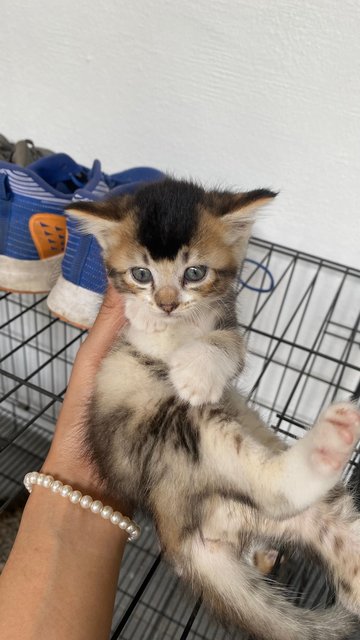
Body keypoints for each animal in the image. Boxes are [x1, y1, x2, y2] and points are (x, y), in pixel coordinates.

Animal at [67, 178, 360, 640]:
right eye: (141, 274)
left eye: (195, 273)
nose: (166, 303)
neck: (179, 329)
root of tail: (176, 535)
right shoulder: (126, 345)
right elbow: (140, 328)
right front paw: (146, 318)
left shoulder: (227, 326)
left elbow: (226, 345)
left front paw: (197, 371)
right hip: (175, 437)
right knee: (278, 494)